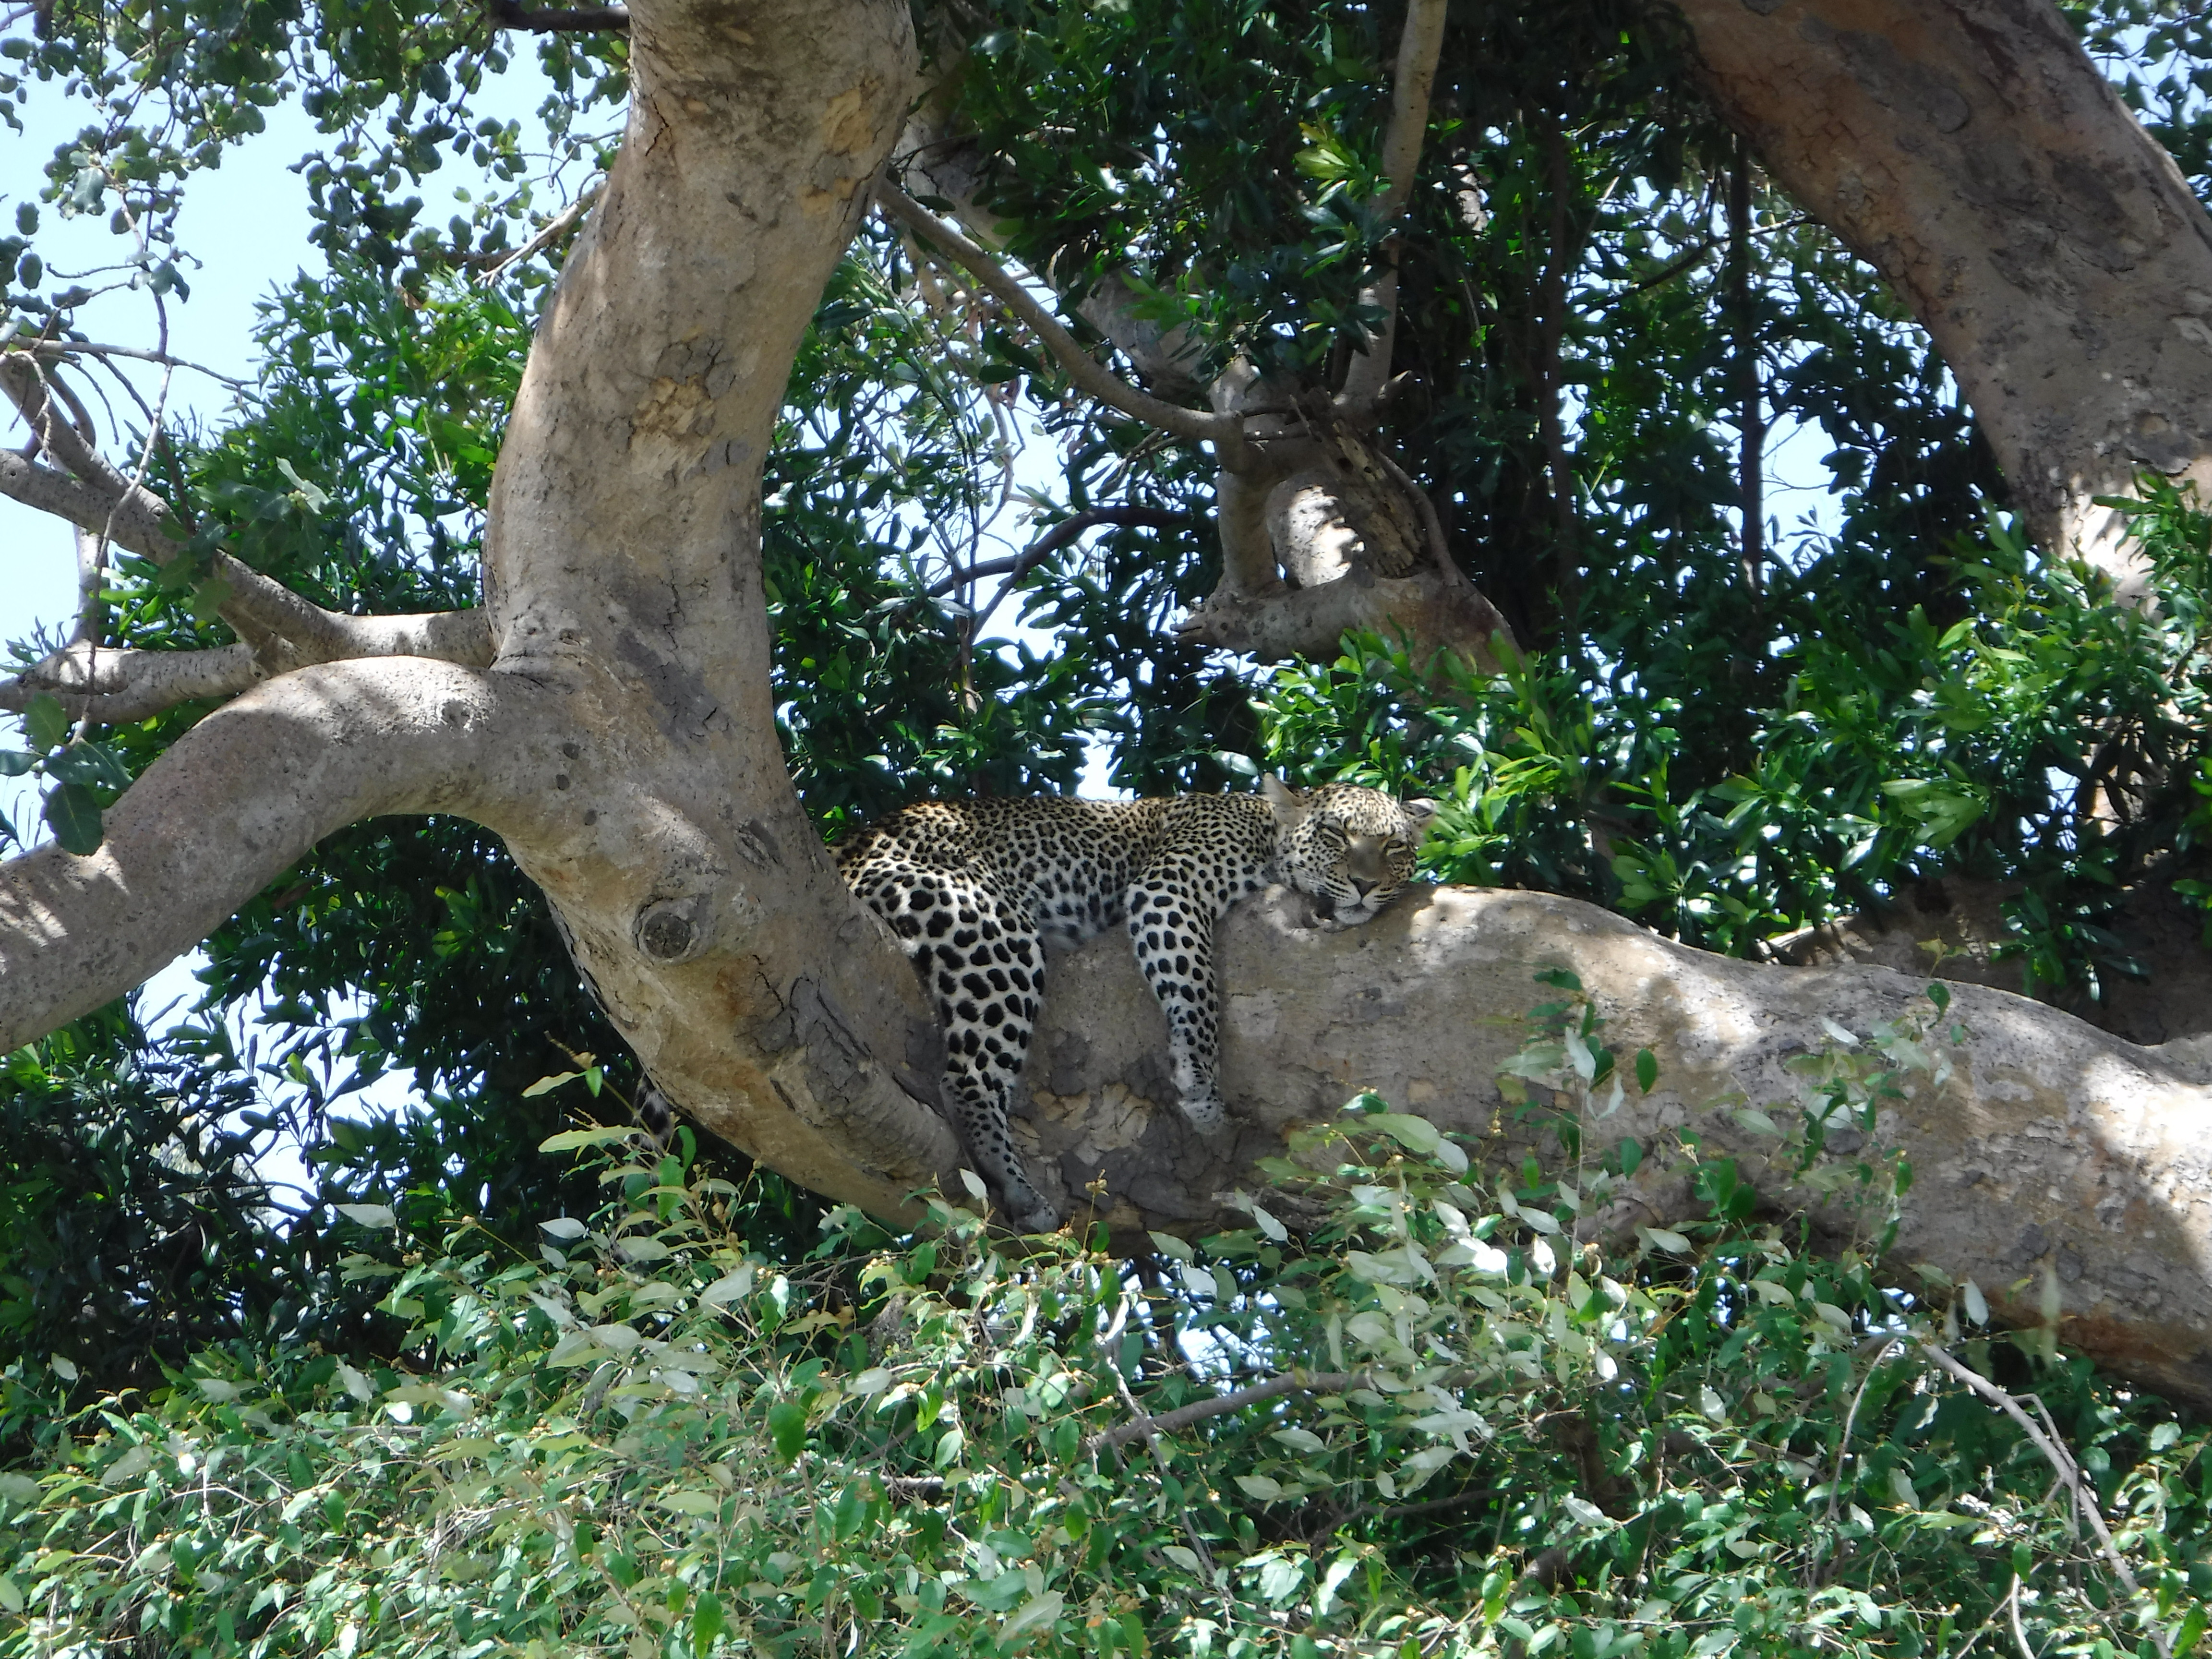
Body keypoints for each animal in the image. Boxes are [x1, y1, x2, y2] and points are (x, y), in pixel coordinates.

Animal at [836, 774, 1437, 1231]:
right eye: (1337, 834)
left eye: (1395, 846)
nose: (1364, 885)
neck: (1264, 829)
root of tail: (849, 849)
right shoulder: (1170, 886)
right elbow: (1197, 986)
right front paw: (1202, 1087)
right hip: (992, 926)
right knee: (966, 1077)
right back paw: (1020, 1189)